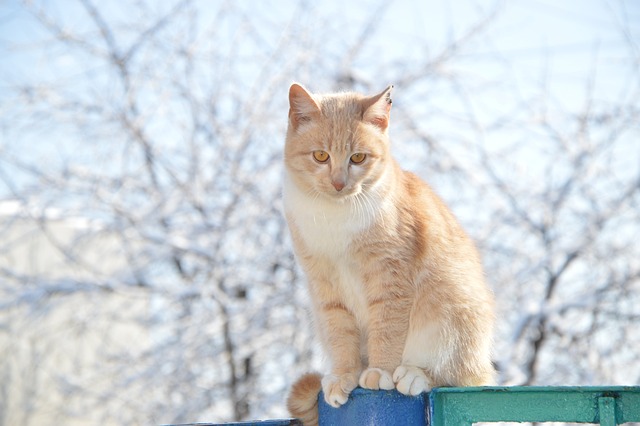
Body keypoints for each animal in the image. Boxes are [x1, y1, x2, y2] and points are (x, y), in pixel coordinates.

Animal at [282, 84, 498, 426]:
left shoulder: (390, 276)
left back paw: (414, 374)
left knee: (460, 377)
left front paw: (380, 371)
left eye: (358, 157)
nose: (339, 183)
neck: (336, 216)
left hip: (453, 312)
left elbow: (387, 328)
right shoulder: (324, 286)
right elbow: (341, 335)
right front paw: (344, 375)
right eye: (320, 156)